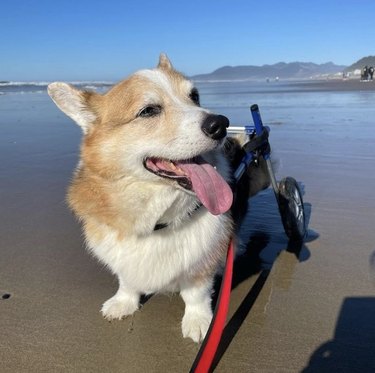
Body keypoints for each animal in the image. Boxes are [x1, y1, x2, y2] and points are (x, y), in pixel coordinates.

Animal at [47, 53, 270, 342]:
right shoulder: (122, 258)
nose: (220, 124)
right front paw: (124, 303)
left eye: (195, 96)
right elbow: (127, 281)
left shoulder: (200, 263)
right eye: (148, 110)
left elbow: (196, 294)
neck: (155, 220)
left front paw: (198, 322)